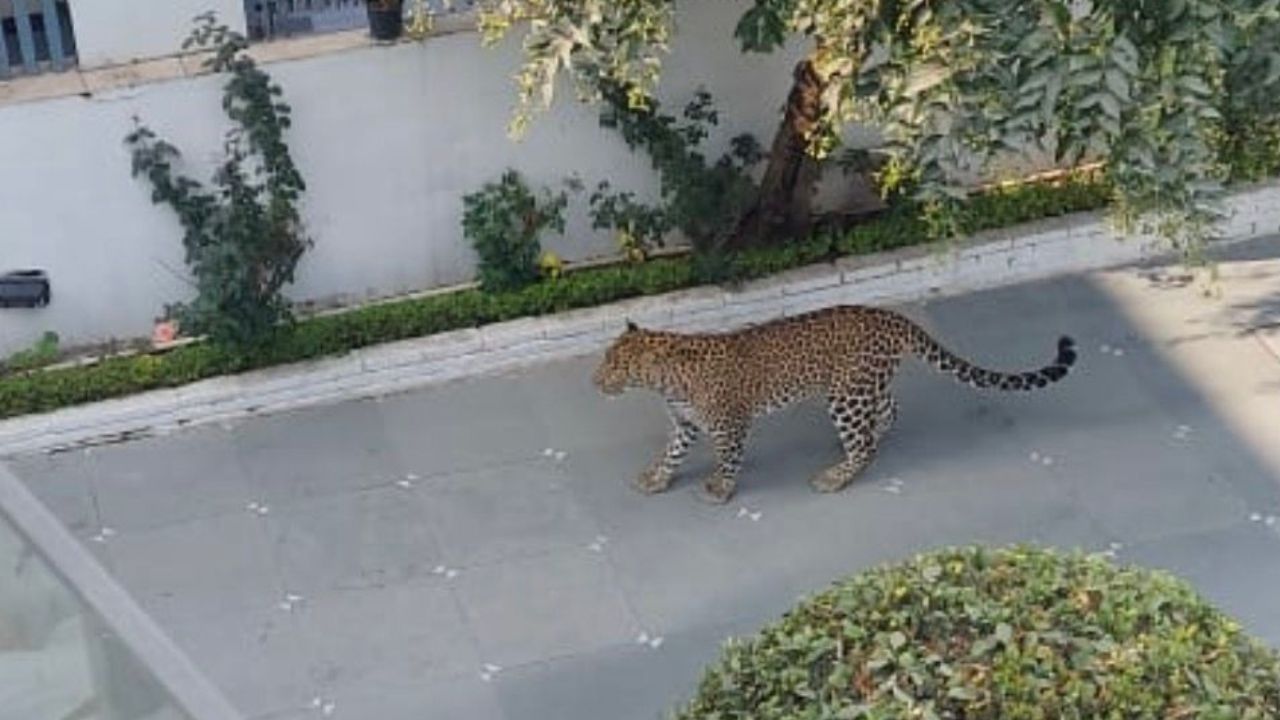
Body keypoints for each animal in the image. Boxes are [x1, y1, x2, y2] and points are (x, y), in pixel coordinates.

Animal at [592, 304, 1077, 504]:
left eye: (615, 365)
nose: (595, 382)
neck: (666, 383)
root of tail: (891, 317)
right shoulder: (686, 423)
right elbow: (671, 453)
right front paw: (657, 478)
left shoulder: (730, 423)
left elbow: (729, 458)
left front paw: (721, 490)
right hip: (858, 386)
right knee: (887, 410)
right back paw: (865, 442)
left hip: (846, 395)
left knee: (864, 443)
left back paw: (837, 475)